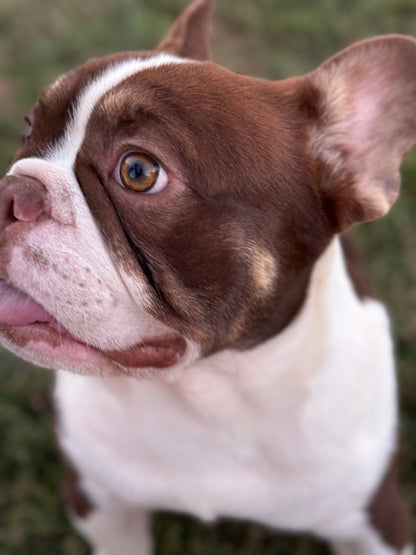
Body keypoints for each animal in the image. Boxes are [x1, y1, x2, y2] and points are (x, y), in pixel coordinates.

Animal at [0, 0, 416, 552]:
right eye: (29, 132)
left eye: (138, 171)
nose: (10, 190)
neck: (213, 392)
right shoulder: (101, 503)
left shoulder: (378, 522)